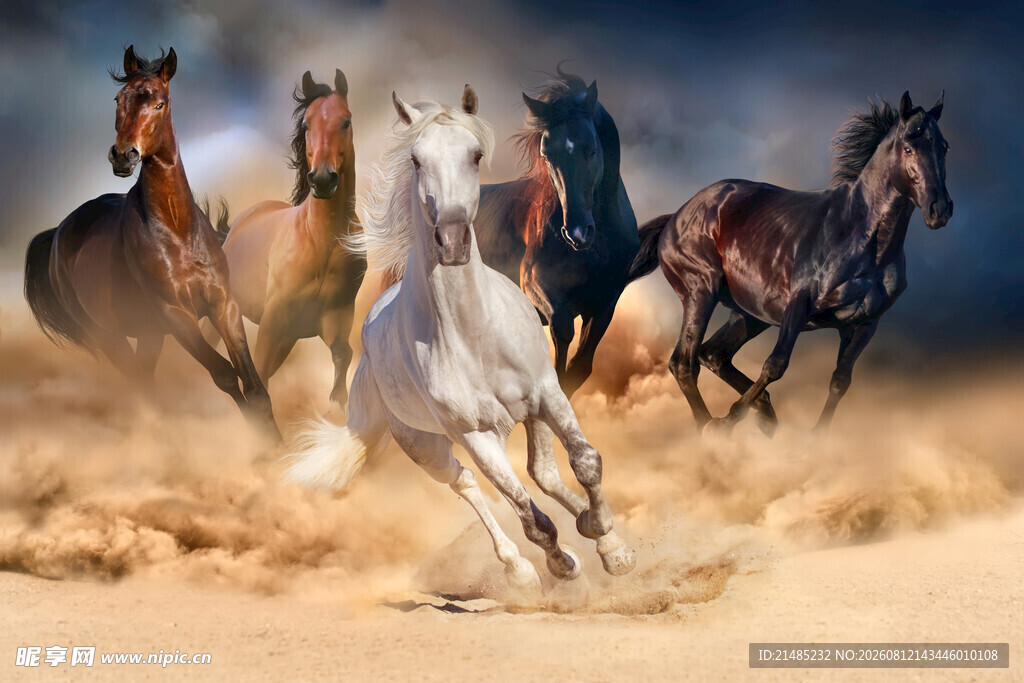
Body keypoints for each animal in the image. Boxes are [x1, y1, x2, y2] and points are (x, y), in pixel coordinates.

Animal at [23, 46, 279, 438]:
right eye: (119, 99)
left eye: (160, 103)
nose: (122, 155)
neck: (177, 230)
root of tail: (58, 234)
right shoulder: (175, 315)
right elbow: (224, 375)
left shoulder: (223, 305)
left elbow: (253, 383)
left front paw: (278, 444)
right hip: (108, 336)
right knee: (140, 384)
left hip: (148, 334)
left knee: (145, 379)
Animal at [218, 70, 363, 406]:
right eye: (306, 124)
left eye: (346, 121)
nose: (322, 179)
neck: (321, 241)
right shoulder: (274, 320)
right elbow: (258, 376)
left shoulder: (334, 318)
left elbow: (343, 356)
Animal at [471, 70, 638, 397]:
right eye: (547, 155)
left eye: (592, 149)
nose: (577, 232)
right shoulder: (535, 281)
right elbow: (561, 332)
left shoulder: (605, 302)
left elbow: (580, 367)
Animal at [628, 91, 953, 435]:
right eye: (908, 147)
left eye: (944, 146)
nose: (940, 209)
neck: (861, 239)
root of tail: (675, 217)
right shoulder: (799, 304)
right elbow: (775, 365)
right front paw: (729, 421)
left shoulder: (864, 324)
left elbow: (840, 381)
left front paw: (815, 437)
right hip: (700, 292)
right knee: (684, 363)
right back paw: (712, 428)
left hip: (749, 314)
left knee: (713, 355)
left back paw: (764, 413)